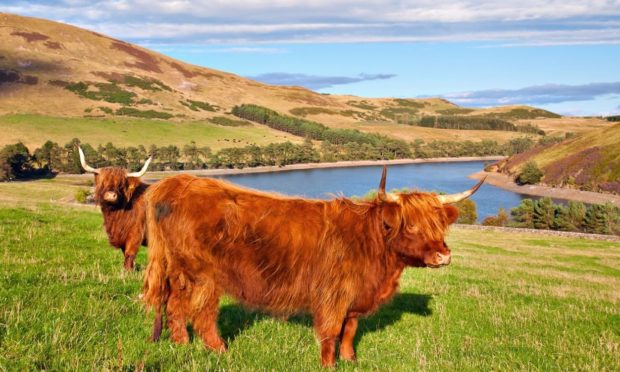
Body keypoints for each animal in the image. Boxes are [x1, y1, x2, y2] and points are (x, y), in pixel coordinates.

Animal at [142, 167, 484, 368]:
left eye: (439, 224)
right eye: (411, 225)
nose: (443, 256)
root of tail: (177, 183)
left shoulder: (354, 296)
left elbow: (350, 330)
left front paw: (350, 359)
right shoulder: (333, 295)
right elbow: (331, 332)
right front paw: (329, 364)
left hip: (180, 273)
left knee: (175, 306)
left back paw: (181, 344)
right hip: (203, 275)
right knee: (201, 312)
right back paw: (219, 350)